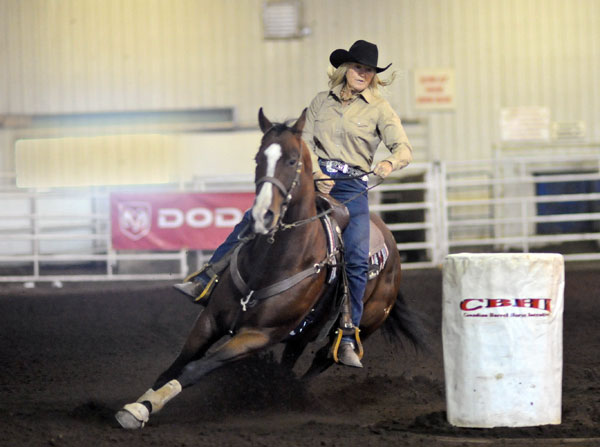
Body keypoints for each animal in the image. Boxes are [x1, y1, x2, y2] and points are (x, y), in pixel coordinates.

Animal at [116, 108, 426, 430]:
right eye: (258, 158)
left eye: (291, 160)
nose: (262, 214)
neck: (271, 263)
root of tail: (390, 243)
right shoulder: (210, 320)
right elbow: (177, 363)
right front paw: (140, 405)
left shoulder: (258, 335)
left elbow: (194, 368)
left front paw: (144, 408)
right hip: (304, 330)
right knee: (292, 359)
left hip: (365, 322)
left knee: (324, 357)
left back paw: (295, 390)